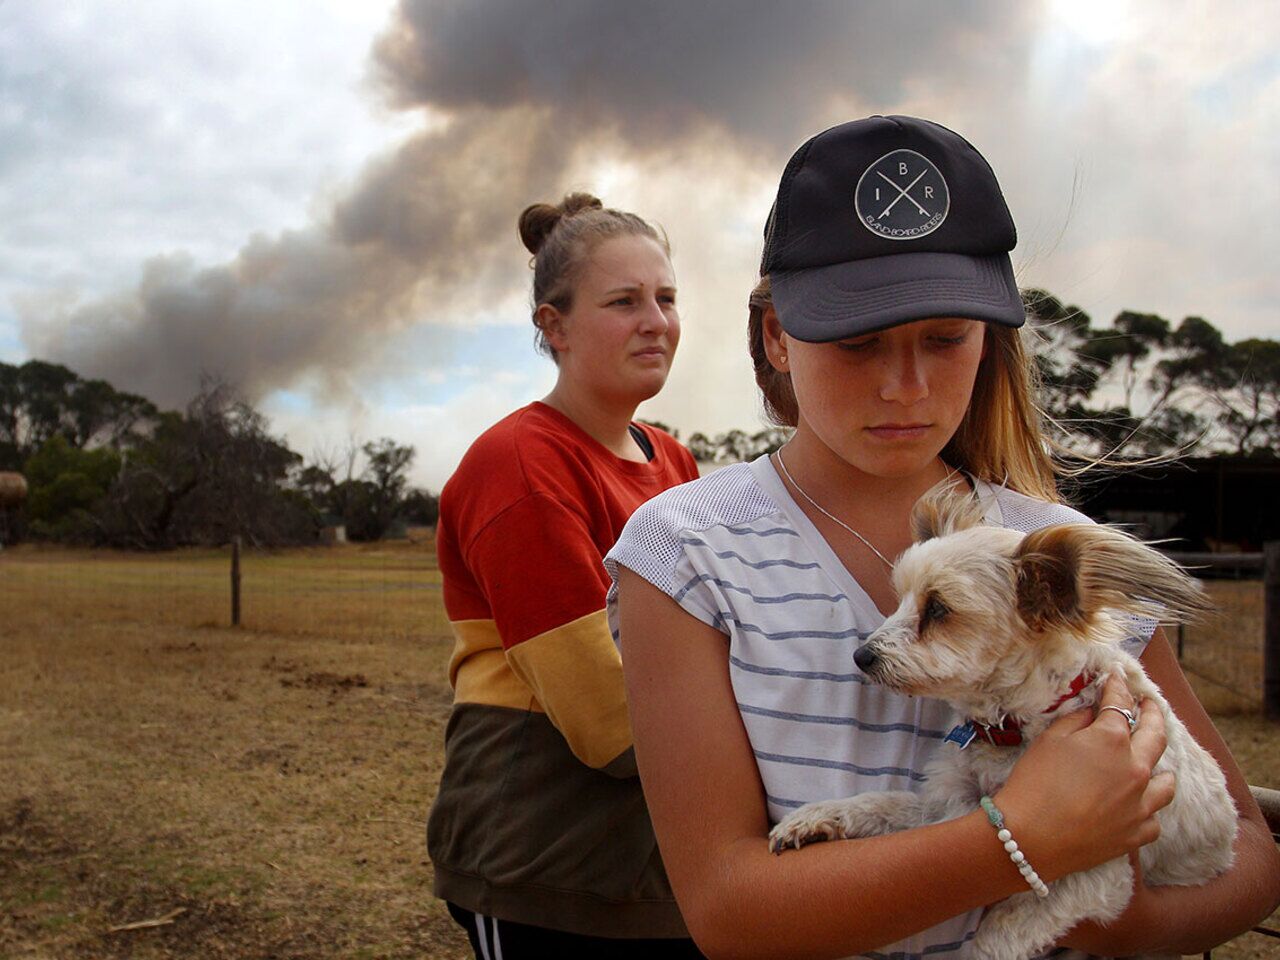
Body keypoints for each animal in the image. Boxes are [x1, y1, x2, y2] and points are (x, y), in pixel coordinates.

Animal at [762, 491, 1233, 957]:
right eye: (901, 599)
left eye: (938, 608)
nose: (861, 656)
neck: (1011, 727)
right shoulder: (949, 806)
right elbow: (879, 803)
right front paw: (814, 817)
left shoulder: (1099, 872)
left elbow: (997, 938)